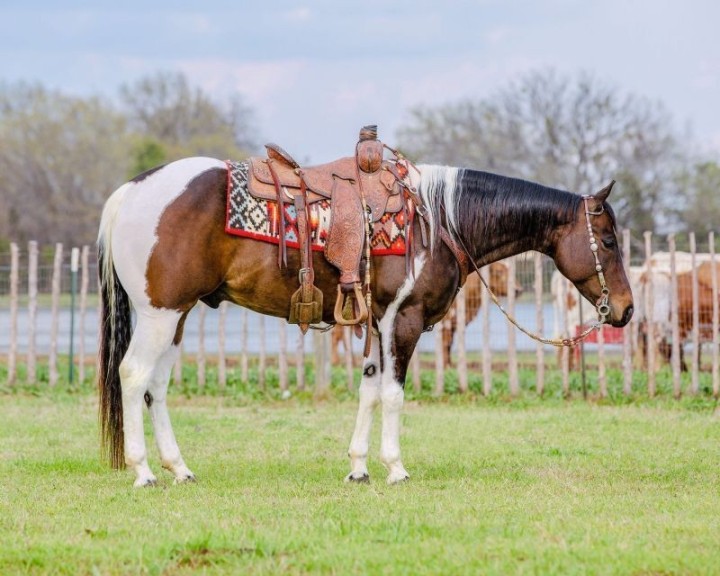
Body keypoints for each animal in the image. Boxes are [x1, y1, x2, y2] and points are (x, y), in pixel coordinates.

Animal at [97, 157, 634, 487]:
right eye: (608, 241)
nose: (626, 309)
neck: (438, 222)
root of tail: (130, 192)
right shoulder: (404, 321)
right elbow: (393, 395)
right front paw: (395, 467)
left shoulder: (377, 326)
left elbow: (369, 391)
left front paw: (359, 467)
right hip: (158, 315)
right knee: (133, 376)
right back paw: (144, 472)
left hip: (176, 317)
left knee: (157, 387)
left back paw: (179, 468)